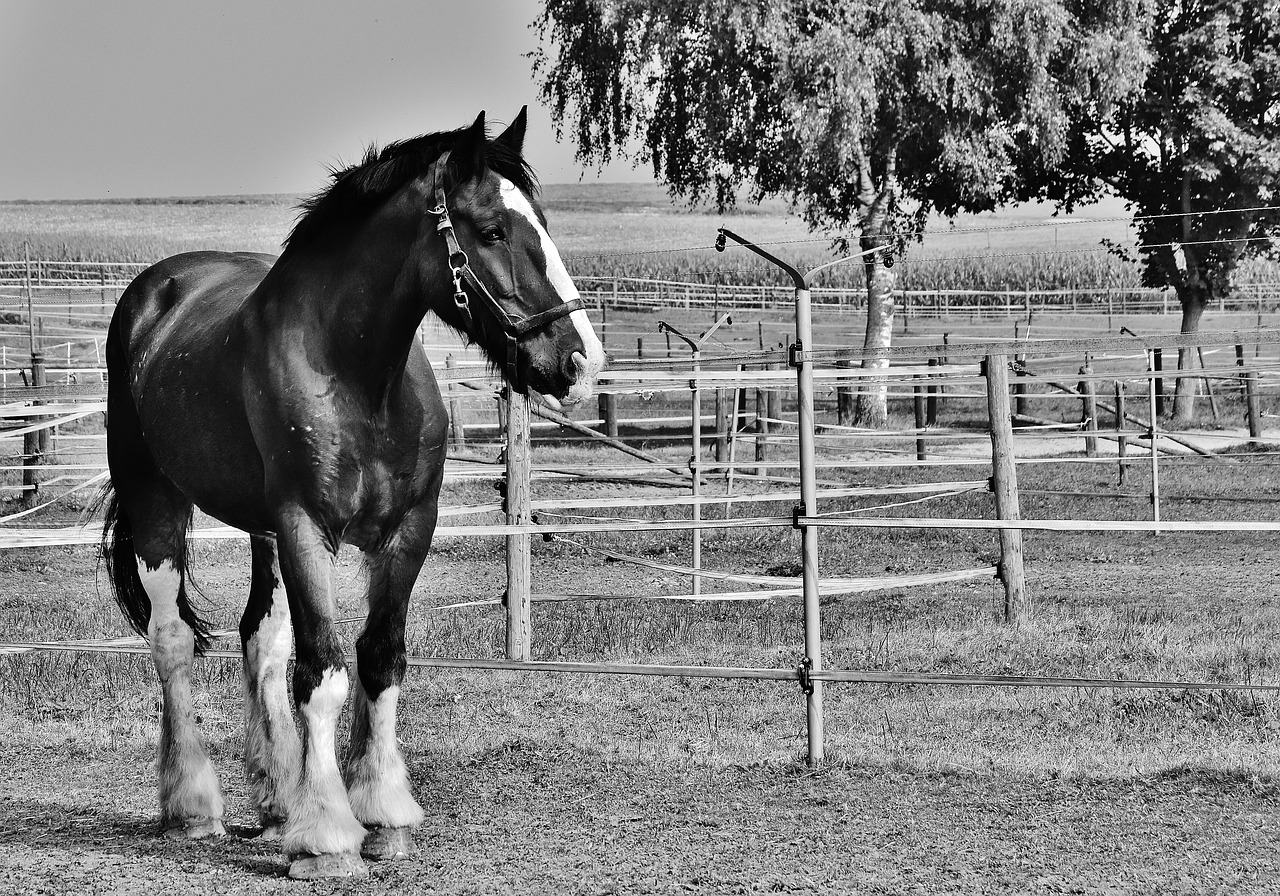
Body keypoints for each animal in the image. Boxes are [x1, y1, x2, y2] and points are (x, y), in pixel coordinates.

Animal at [97, 108, 606, 880]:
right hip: (158, 501)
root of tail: (154, 293)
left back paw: (278, 800)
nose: (579, 361)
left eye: (541, 222)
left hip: (262, 532)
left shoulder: (407, 529)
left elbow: (378, 657)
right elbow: (325, 670)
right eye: (492, 230)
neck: (360, 377)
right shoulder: (305, 527)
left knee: (260, 639)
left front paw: (380, 814)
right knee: (172, 641)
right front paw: (328, 837)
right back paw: (193, 807)